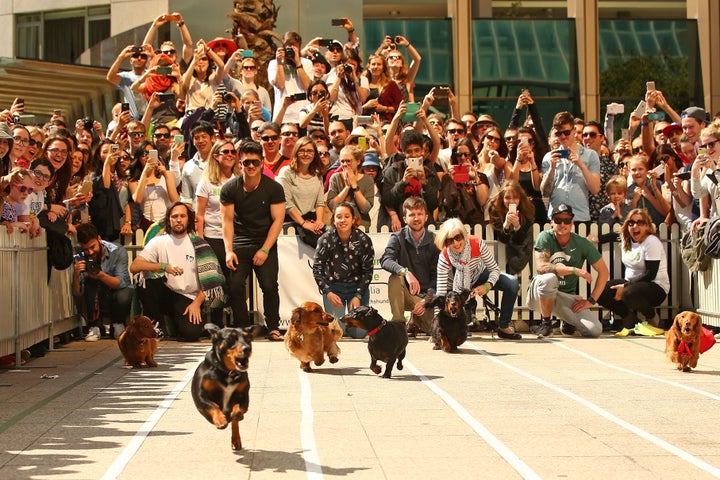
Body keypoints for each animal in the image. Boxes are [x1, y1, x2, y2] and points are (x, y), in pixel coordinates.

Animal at [193, 322, 258, 450]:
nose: (247, 348)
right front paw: (220, 420)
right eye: (230, 338)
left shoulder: (243, 396)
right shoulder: (201, 396)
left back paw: (236, 439)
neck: (228, 372)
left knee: (234, 423)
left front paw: (237, 415)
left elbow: (238, 408)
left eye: (249, 338)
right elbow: (213, 406)